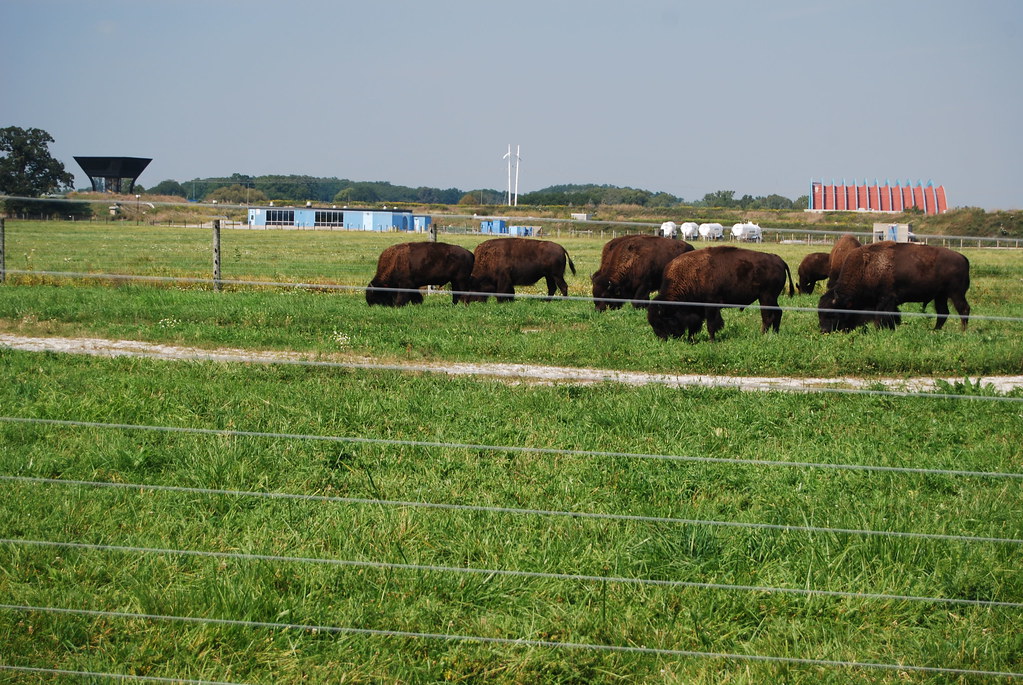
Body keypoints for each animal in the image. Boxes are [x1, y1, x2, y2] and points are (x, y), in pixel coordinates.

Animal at [647, 246, 794, 341]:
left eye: (661, 321)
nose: (663, 338)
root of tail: (778, 260)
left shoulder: (711, 305)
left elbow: (711, 324)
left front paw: (711, 341)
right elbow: (696, 324)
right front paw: (691, 339)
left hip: (766, 297)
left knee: (767, 317)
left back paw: (762, 335)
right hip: (771, 298)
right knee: (777, 313)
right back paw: (775, 333)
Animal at [818, 241, 971, 333]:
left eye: (833, 314)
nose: (824, 331)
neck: (866, 268)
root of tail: (963, 258)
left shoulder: (885, 299)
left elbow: (882, 317)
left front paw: (880, 330)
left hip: (956, 294)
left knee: (964, 309)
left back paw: (963, 331)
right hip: (940, 296)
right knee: (943, 313)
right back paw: (935, 330)